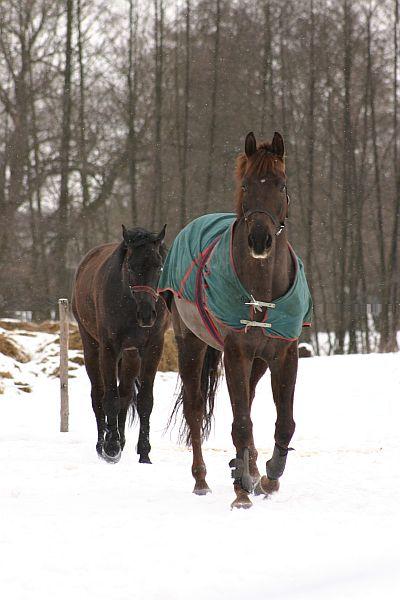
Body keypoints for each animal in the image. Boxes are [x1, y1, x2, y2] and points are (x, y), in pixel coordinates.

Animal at [72, 225, 169, 464]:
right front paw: (111, 447)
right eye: (131, 266)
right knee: (98, 395)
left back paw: (122, 441)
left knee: (125, 394)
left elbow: (144, 401)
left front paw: (144, 452)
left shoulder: (153, 348)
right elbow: (110, 398)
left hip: (131, 355)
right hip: (92, 348)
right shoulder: (109, 348)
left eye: (158, 265)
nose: (147, 315)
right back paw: (103, 445)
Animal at [159, 134, 312, 508]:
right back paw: (202, 479)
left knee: (249, 404)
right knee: (196, 409)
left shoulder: (284, 355)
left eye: (281, 184)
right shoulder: (236, 353)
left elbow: (284, 422)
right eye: (246, 185)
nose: (260, 239)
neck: (262, 291)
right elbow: (240, 423)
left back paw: (253, 470)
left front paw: (268, 477)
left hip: (257, 361)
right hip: (191, 345)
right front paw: (241, 491)